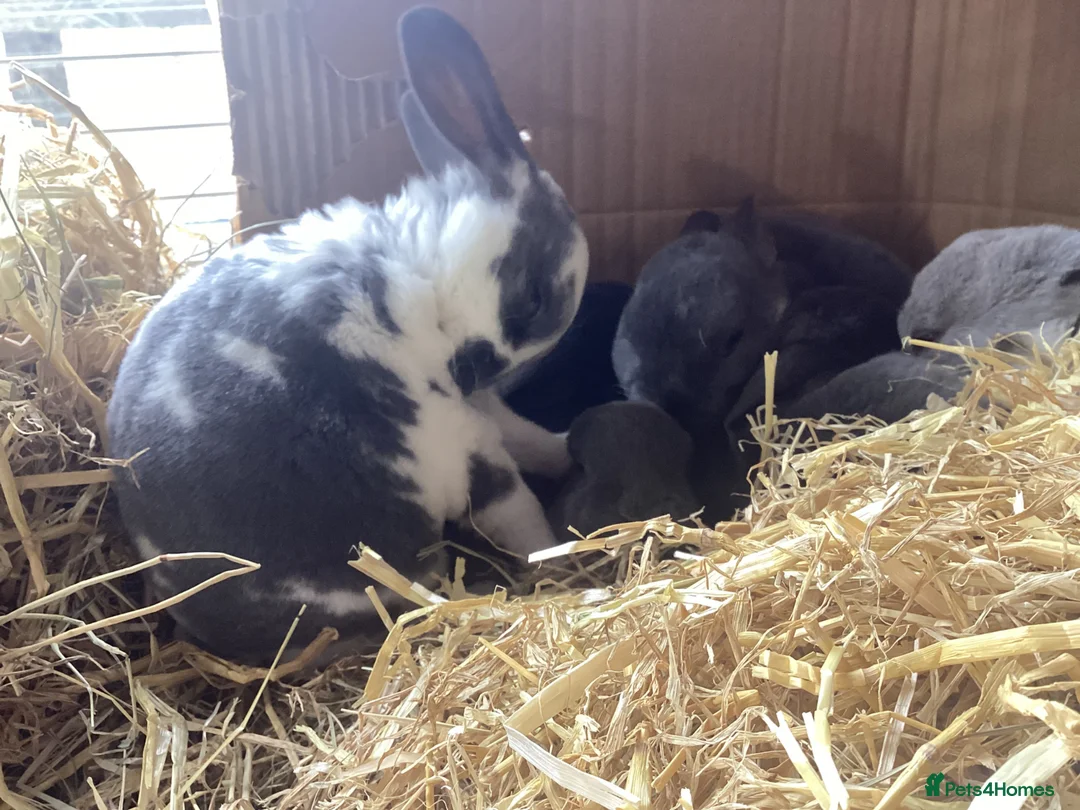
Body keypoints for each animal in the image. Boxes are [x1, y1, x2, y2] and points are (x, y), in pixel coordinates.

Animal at [105, 6, 590, 666]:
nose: (475, 369)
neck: (414, 271)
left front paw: (570, 446)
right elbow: (516, 511)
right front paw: (559, 567)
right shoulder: (463, 445)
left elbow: (531, 438)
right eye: (534, 297)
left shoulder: (486, 416)